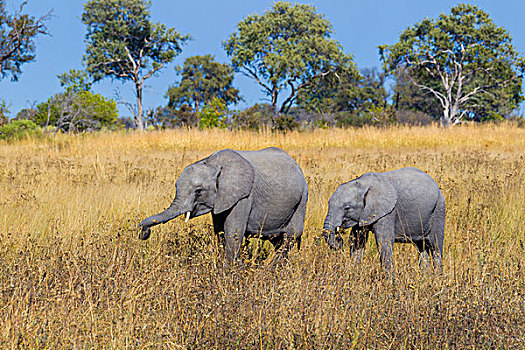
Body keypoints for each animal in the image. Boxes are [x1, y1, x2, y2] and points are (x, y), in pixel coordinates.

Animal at [139, 146, 308, 262]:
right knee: (278, 241)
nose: (144, 233)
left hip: (302, 200)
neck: (212, 164)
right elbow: (220, 232)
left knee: (290, 237)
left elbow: (233, 231)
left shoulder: (244, 196)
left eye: (198, 191)